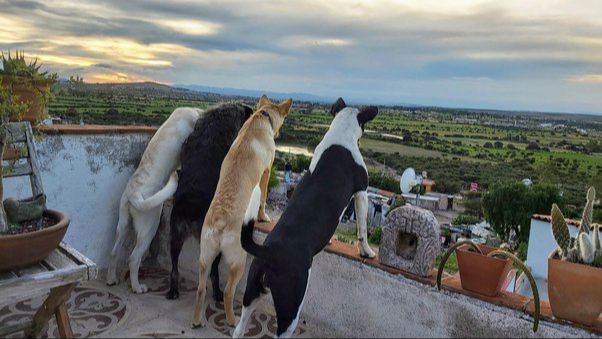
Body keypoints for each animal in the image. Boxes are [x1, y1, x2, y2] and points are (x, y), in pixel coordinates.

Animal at [106, 107, 202, 294]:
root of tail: (133, 193)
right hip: (150, 225)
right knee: (133, 259)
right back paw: (137, 287)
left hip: (123, 225)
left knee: (114, 252)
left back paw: (111, 279)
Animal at [164, 103, 251, 300]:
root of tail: (190, 208)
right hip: (214, 243)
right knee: (213, 272)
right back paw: (217, 293)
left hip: (175, 236)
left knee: (174, 268)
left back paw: (173, 290)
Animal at [191, 94, 292, 328]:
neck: (261, 117)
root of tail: (220, 221)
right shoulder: (267, 171)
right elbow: (263, 198)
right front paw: (264, 216)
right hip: (239, 260)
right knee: (228, 291)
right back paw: (231, 320)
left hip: (205, 257)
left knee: (201, 289)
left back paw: (197, 320)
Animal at [233, 98, 376, 338]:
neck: (341, 132)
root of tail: (269, 252)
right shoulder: (362, 192)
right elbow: (363, 229)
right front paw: (367, 251)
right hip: (291, 306)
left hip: (252, 290)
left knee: (239, 327)